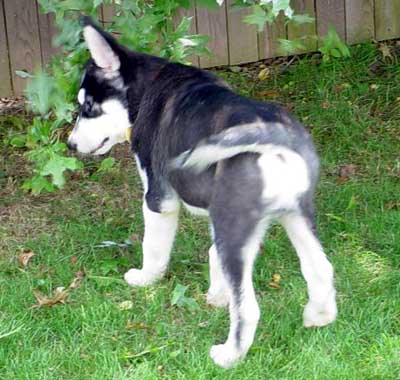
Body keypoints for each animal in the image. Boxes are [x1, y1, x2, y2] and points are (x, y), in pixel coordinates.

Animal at [68, 17, 338, 368]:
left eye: (88, 107)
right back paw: (319, 316)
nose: (70, 145)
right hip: (295, 216)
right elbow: (212, 255)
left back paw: (228, 355)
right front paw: (217, 295)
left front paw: (145, 278)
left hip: (234, 224)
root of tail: (277, 138)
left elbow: (153, 249)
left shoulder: (158, 199)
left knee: (248, 308)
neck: (147, 88)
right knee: (320, 267)